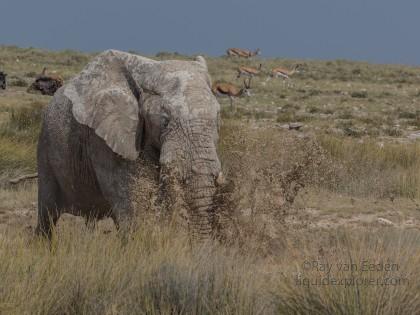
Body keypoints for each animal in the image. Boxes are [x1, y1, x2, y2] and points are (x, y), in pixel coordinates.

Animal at [37, 50, 223, 239]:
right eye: (165, 120)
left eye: (217, 117)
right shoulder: (106, 140)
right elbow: (133, 210)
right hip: (45, 147)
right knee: (47, 214)